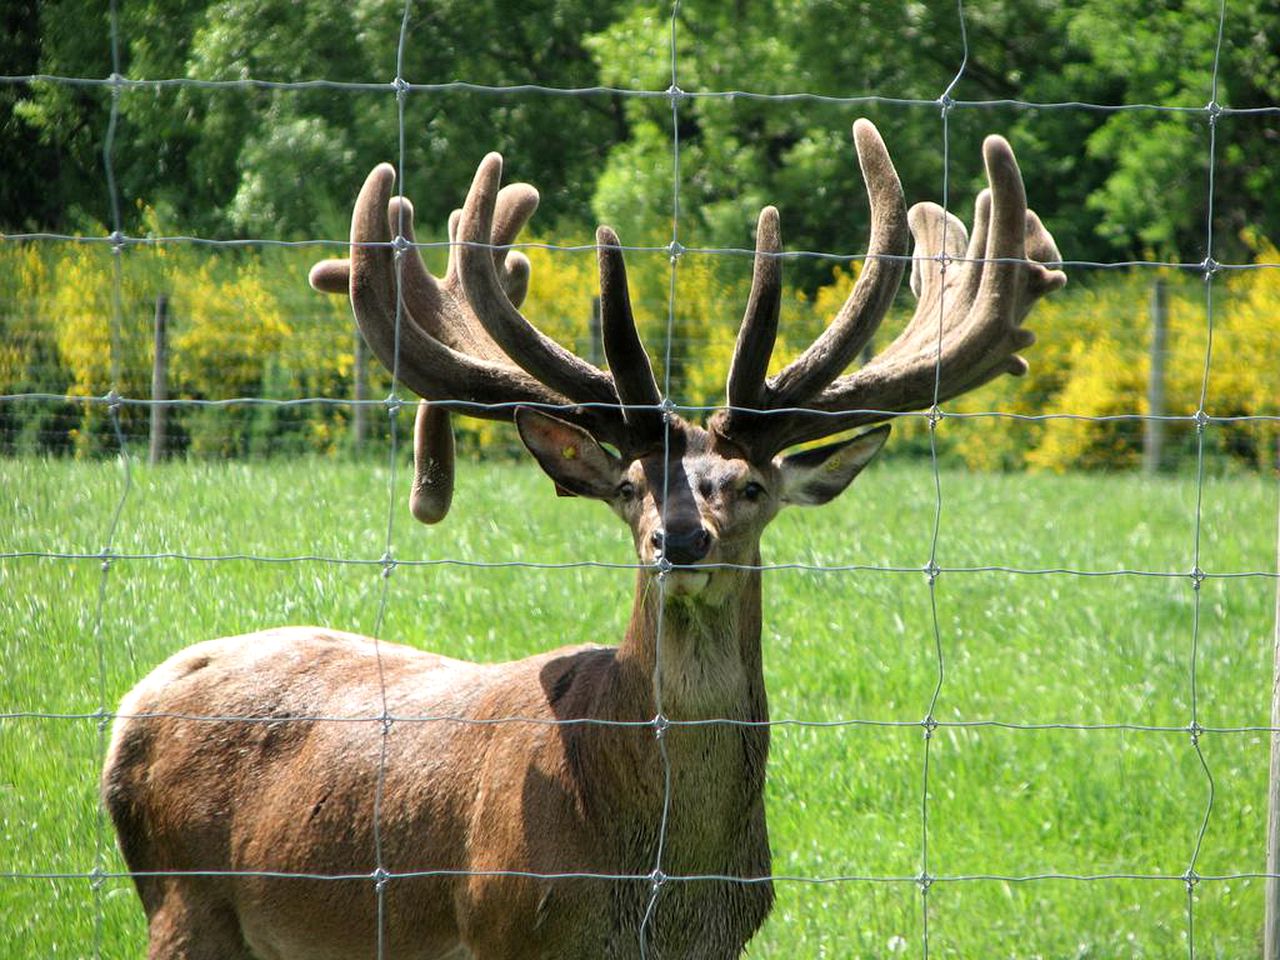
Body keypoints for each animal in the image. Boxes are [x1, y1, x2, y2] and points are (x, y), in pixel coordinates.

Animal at [99, 122, 1064, 960]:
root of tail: (133, 708)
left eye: (750, 487)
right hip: (184, 901)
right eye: (631, 487)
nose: (681, 541)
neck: (661, 889)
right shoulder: (501, 928)